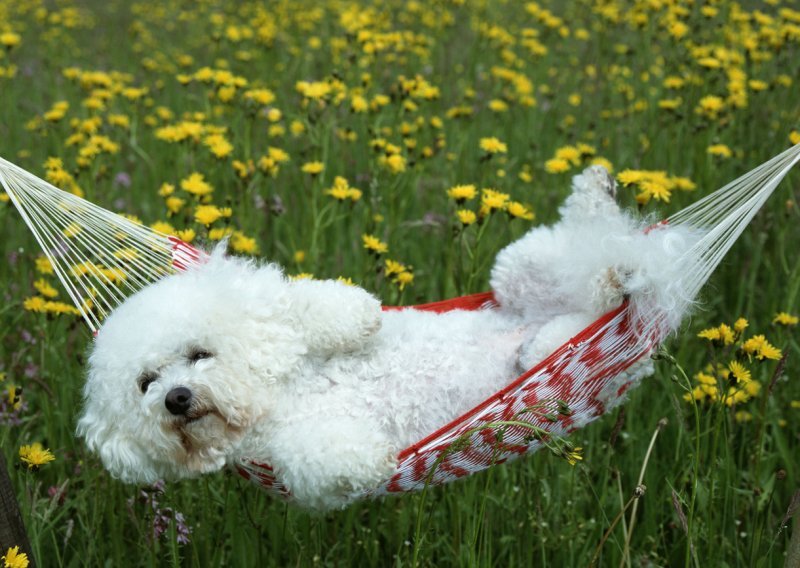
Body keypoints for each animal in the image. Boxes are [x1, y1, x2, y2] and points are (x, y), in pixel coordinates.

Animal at [76, 165, 700, 510]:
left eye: (198, 354)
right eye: (146, 383)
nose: (177, 398)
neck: (271, 399)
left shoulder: (275, 308)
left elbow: (313, 309)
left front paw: (357, 319)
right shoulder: (289, 462)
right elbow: (331, 459)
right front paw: (375, 460)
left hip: (524, 273)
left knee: (591, 255)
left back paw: (608, 227)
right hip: (545, 321)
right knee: (582, 305)